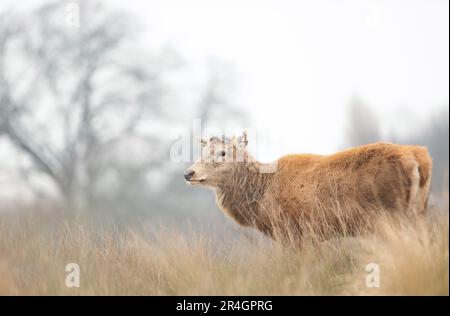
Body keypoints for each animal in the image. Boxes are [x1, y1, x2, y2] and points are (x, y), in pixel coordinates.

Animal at [184, 131, 432, 239]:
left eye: (223, 152)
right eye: (202, 151)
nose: (189, 173)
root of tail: (418, 158)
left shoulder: (291, 229)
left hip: (394, 213)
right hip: (418, 210)